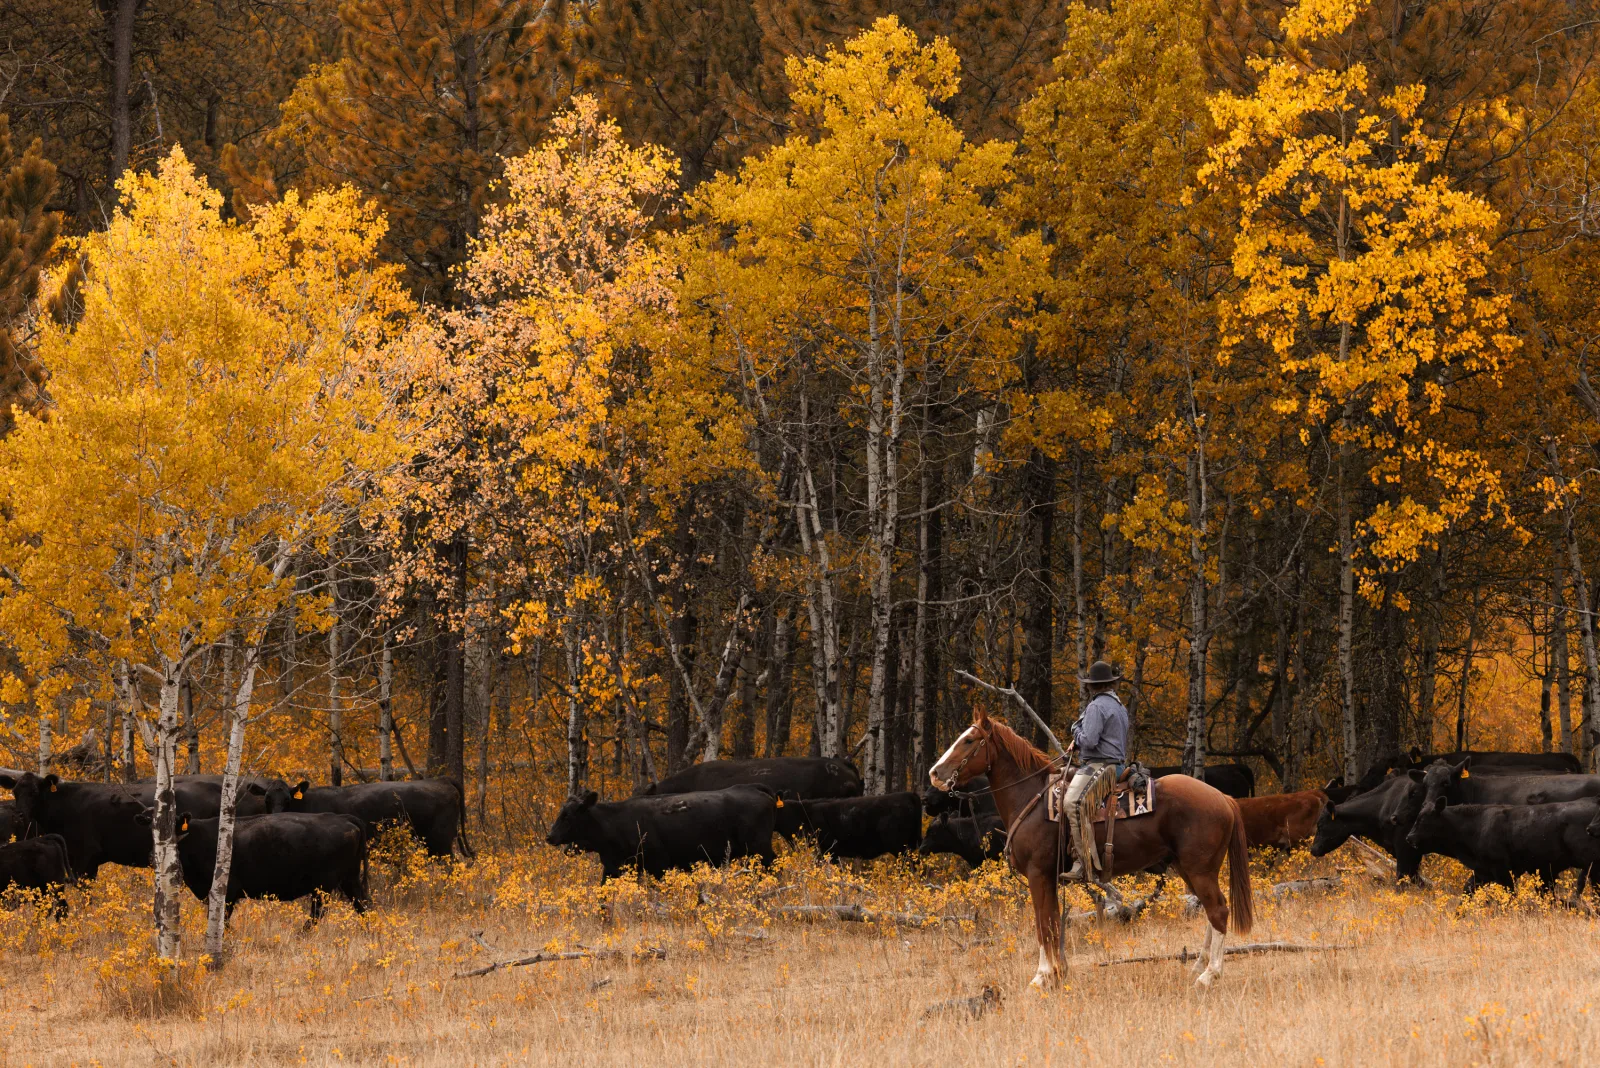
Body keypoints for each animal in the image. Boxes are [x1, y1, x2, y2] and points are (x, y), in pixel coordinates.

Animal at [168, 811, 369, 923]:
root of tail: (343, 818)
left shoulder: (227, 893)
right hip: (349, 879)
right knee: (362, 906)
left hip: (324, 885)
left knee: (318, 912)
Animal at [546, 785, 780, 879]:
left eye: (567, 816)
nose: (549, 837)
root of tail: (755, 789)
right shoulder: (614, 866)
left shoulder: (659, 864)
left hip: (760, 848)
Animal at [928, 707, 1253, 989]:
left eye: (969, 740)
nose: (935, 774)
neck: (1030, 797)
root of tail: (1223, 798)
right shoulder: (1049, 878)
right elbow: (1053, 922)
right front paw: (1057, 973)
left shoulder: (1038, 874)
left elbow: (1042, 924)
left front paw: (1041, 977)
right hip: (1188, 868)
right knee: (1209, 911)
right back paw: (1199, 966)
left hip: (1200, 870)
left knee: (1218, 910)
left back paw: (1209, 976)